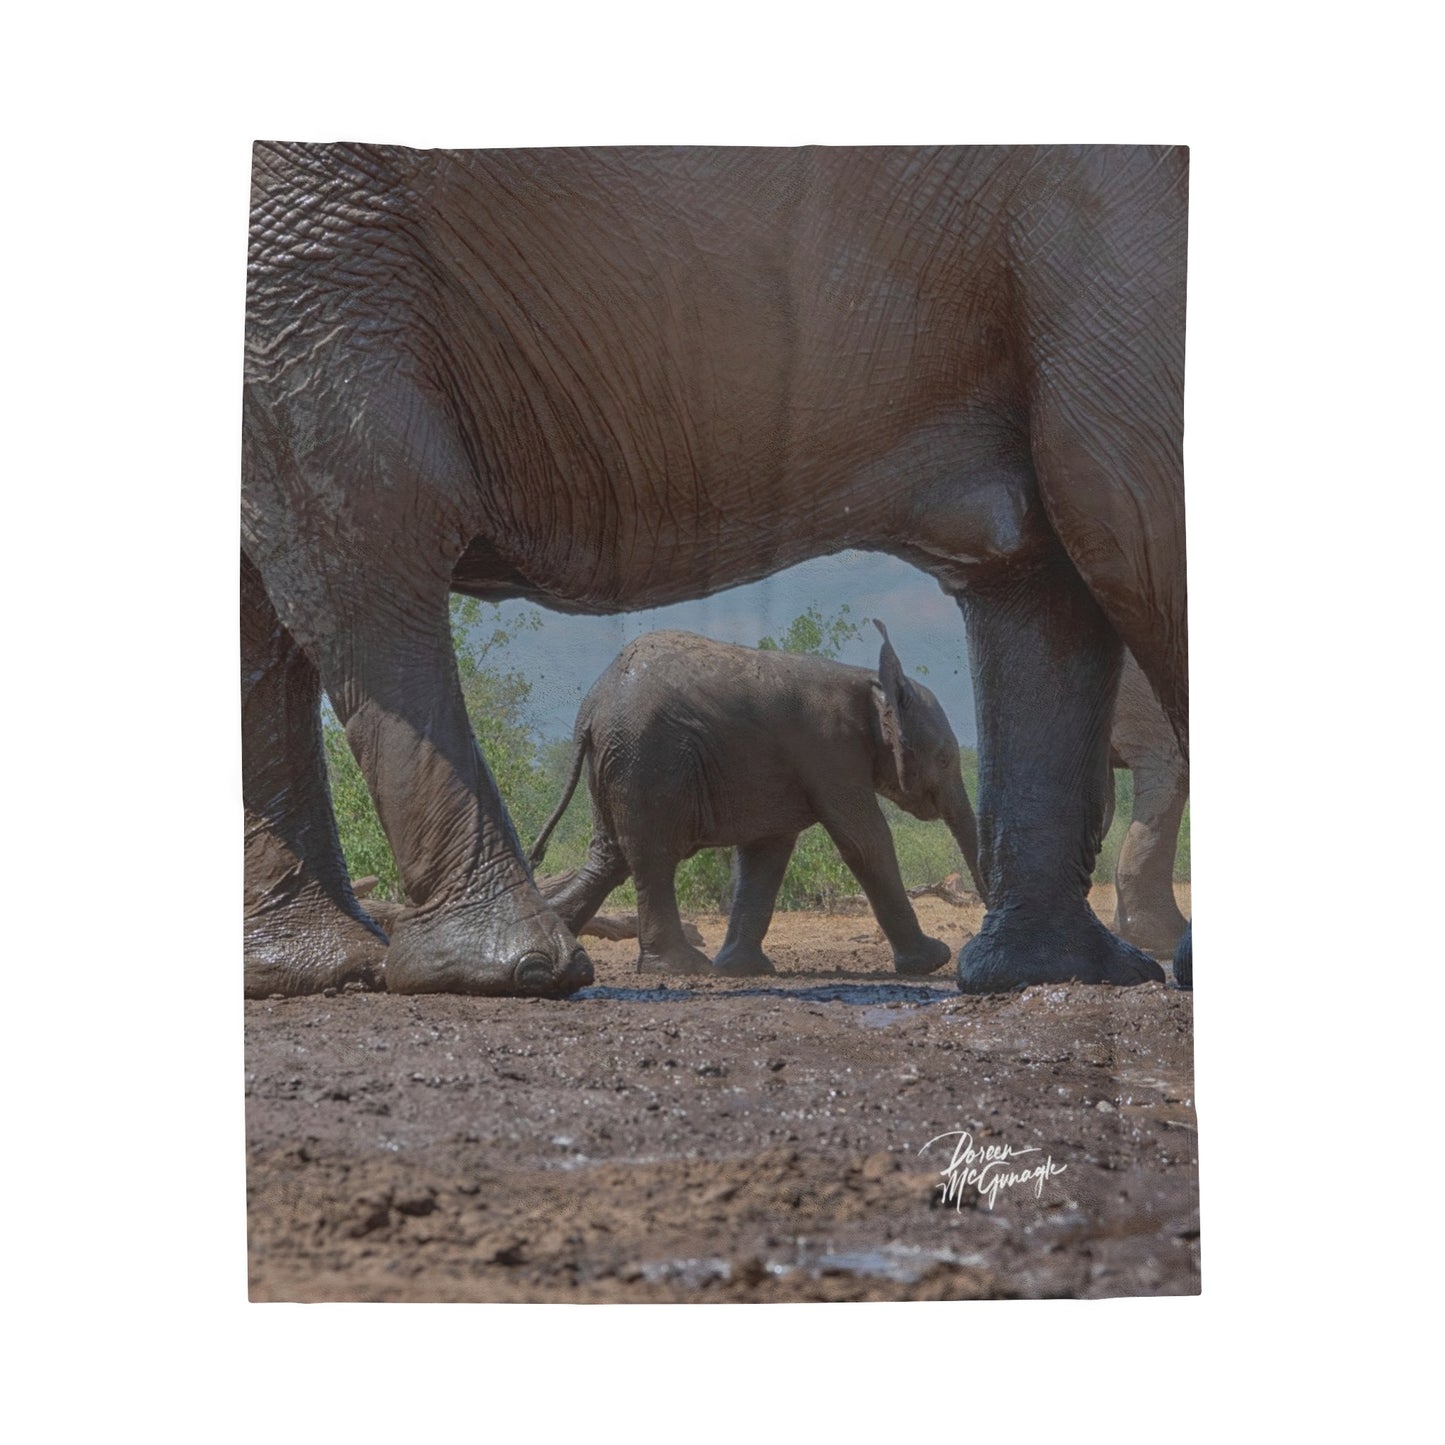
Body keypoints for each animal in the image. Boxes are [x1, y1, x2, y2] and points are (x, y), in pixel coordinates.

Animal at [527, 624, 987, 978]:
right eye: (945, 759)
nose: (975, 939)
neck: (872, 683)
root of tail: (592, 705)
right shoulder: (830, 753)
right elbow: (864, 841)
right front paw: (933, 961)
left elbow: (766, 855)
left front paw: (743, 969)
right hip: (647, 759)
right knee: (651, 857)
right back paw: (683, 968)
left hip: (617, 762)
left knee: (609, 860)